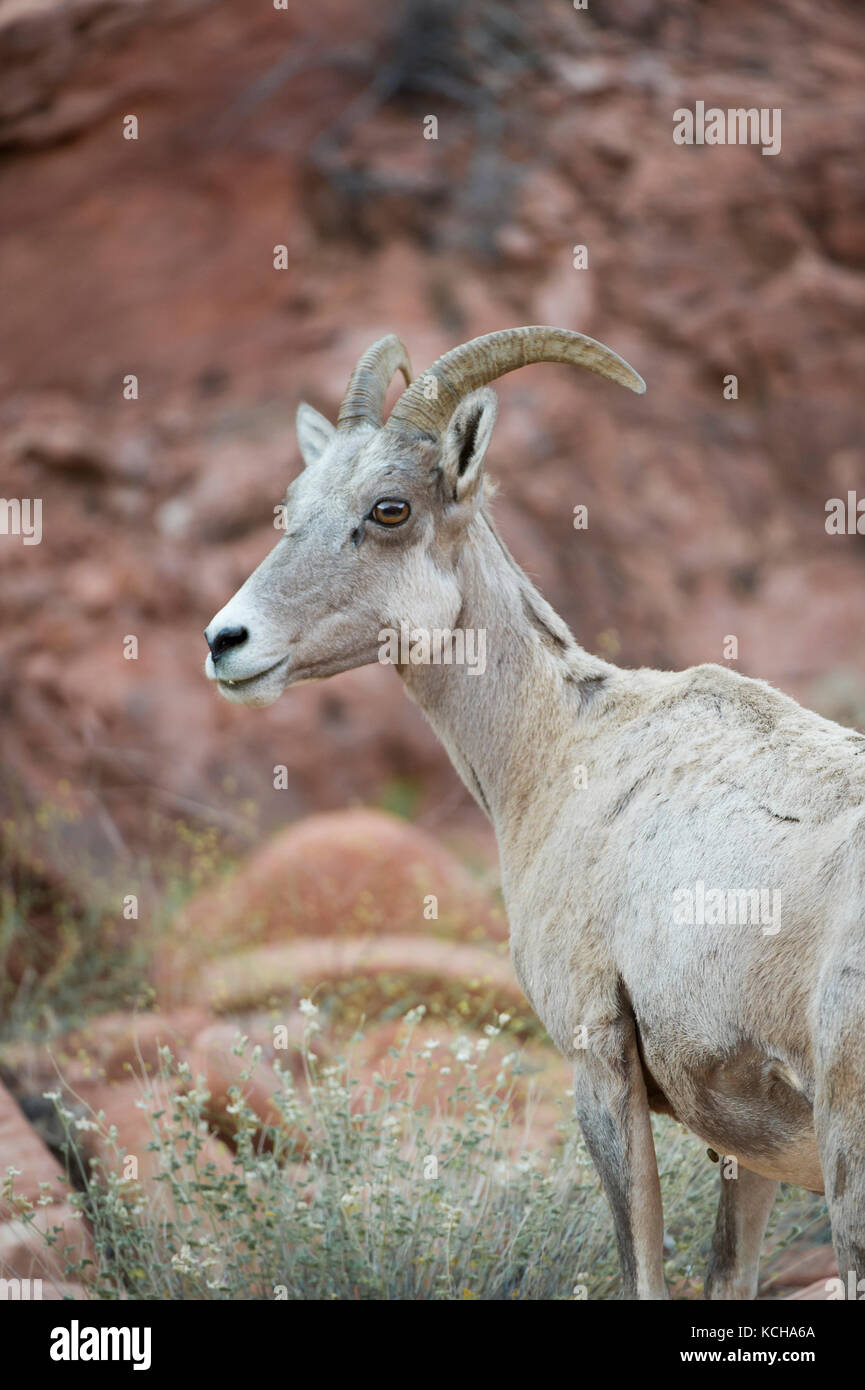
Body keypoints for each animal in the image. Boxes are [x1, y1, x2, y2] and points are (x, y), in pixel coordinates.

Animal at [204, 327, 865, 1300]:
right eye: (291, 504)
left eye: (390, 509)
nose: (227, 642)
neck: (559, 749)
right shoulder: (741, 1144)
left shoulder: (599, 1062)